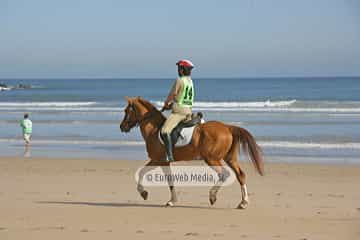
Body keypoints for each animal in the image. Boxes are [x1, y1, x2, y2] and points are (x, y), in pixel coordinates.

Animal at [119, 96, 262, 209]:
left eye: (126, 111)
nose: (122, 127)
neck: (154, 129)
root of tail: (227, 127)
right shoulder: (162, 161)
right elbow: (167, 179)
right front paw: (170, 200)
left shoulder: (158, 160)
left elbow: (145, 173)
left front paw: (146, 193)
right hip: (230, 159)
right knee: (240, 175)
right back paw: (243, 203)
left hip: (212, 159)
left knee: (224, 174)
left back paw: (213, 196)